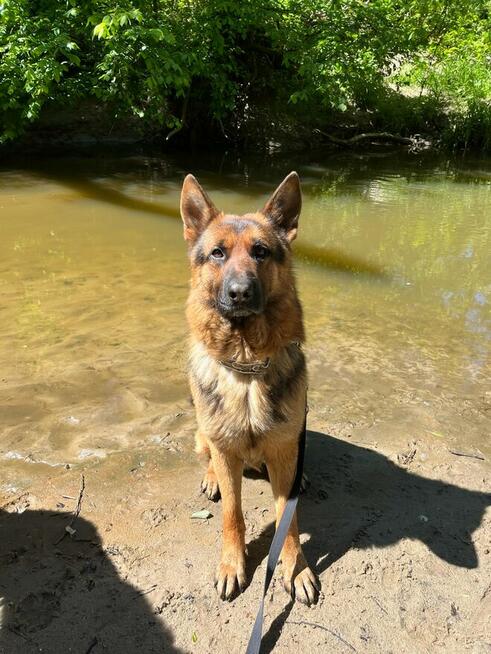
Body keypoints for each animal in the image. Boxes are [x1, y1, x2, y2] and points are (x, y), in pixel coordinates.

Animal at [181, 172, 320, 608]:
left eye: (261, 252)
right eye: (217, 253)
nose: (240, 292)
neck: (246, 369)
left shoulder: (283, 450)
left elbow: (287, 521)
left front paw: (295, 568)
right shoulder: (227, 453)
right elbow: (233, 515)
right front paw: (232, 564)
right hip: (204, 435)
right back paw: (211, 478)